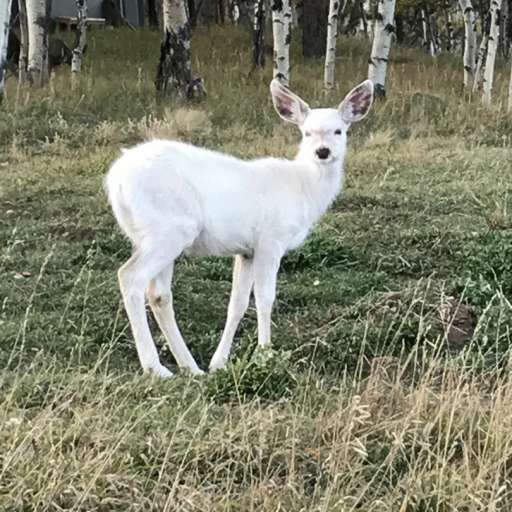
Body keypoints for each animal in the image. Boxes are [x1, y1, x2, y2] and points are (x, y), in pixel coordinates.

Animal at [105, 79, 374, 377]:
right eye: (306, 132)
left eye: (339, 130)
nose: (323, 152)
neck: (302, 188)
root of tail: (115, 181)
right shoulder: (271, 239)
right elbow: (266, 298)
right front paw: (265, 354)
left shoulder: (246, 250)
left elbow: (238, 303)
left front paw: (218, 362)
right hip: (169, 230)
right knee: (130, 277)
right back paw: (156, 368)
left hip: (152, 235)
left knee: (159, 294)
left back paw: (191, 367)